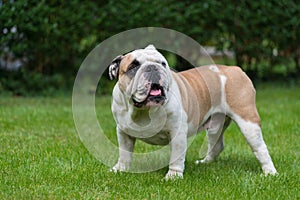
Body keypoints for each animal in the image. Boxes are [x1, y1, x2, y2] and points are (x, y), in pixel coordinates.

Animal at [108, 44, 276, 179]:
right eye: (133, 66)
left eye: (162, 63)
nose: (153, 68)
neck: (142, 109)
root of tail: (235, 69)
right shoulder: (123, 132)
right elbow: (124, 153)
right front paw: (120, 169)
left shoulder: (177, 133)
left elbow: (176, 157)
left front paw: (173, 176)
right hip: (215, 125)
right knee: (217, 144)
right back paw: (205, 162)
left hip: (248, 121)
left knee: (260, 148)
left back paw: (270, 172)